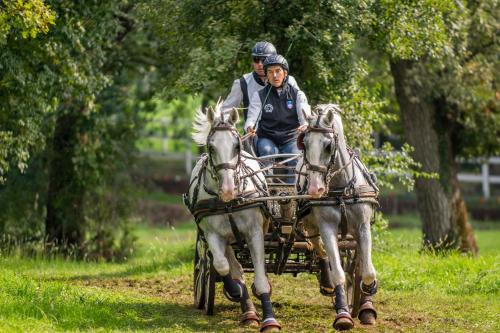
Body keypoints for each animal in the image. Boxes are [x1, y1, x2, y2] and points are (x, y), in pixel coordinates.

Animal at [188, 102, 282, 330]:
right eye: (211, 147)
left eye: (236, 146)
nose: (228, 190)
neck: (230, 203)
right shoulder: (213, 235)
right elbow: (222, 265)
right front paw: (234, 291)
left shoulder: (255, 232)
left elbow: (260, 277)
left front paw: (269, 319)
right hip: (225, 240)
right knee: (234, 267)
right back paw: (247, 310)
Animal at [296, 105, 378, 328]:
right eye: (305, 143)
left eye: (328, 145)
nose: (315, 189)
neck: (341, 189)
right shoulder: (327, 228)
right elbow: (339, 273)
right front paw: (342, 314)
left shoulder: (362, 227)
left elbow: (367, 270)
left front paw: (369, 292)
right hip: (312, 228)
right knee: (321, 251)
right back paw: (327, 282)